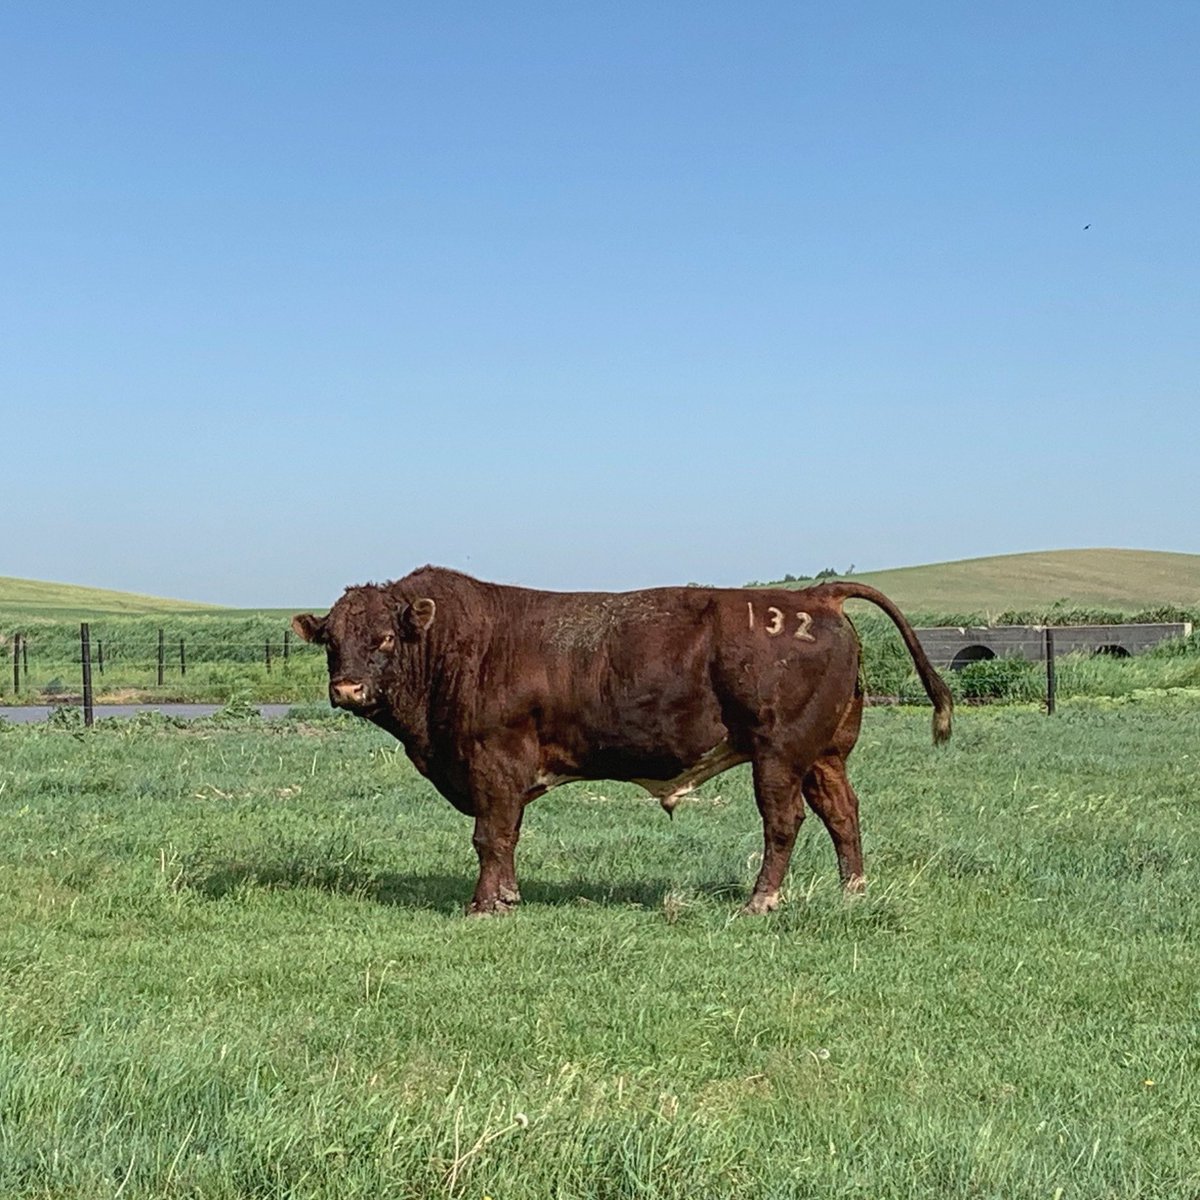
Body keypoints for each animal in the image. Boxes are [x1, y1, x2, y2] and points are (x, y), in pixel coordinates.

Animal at [293, 566, 952, 916]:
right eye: (332, 640)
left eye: (384, 638)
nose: (346, 688)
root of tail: (812, 596)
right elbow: (506, 836)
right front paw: (507, 895)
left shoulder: (494, 760)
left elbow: (491, 834)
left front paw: (485, 904)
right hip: (824, 755)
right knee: (843, 813)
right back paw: (852, 893)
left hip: (780, 755)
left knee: (783, 822)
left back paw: (761, 901)